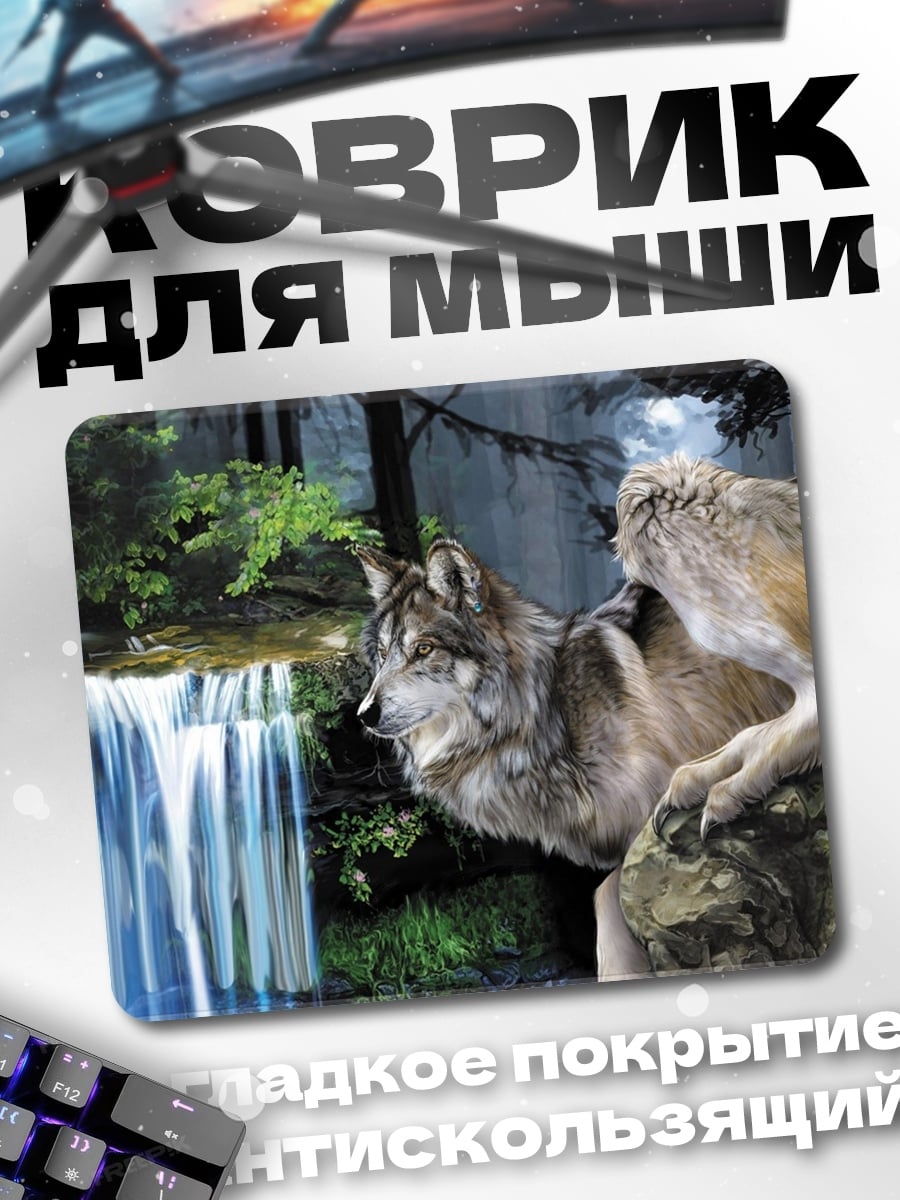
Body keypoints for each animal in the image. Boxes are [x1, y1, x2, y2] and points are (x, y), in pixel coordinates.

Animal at [356, 454, 819, 979]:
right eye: (383, 654)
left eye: (423, 649)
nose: (365, 713)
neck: (546, 709)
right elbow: (605, 915)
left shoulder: (631, 835)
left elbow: (609, 908)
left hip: (649, 496)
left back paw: (718, 776)